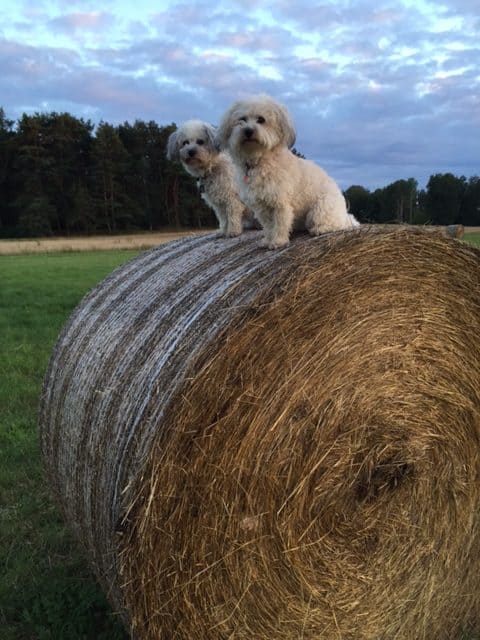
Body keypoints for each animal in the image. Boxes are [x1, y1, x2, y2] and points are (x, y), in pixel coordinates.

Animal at [216, 96, 358, 249]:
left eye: (261, 119)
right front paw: (268, 240)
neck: (259, 160)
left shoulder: (280, 202)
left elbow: (280, 223)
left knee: (335, 225)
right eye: (242, 119)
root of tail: (345, 214)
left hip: (319, 211)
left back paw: (320, 229)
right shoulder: (261, 207)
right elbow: (269, 225)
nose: (248, 131)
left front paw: (277, 242)